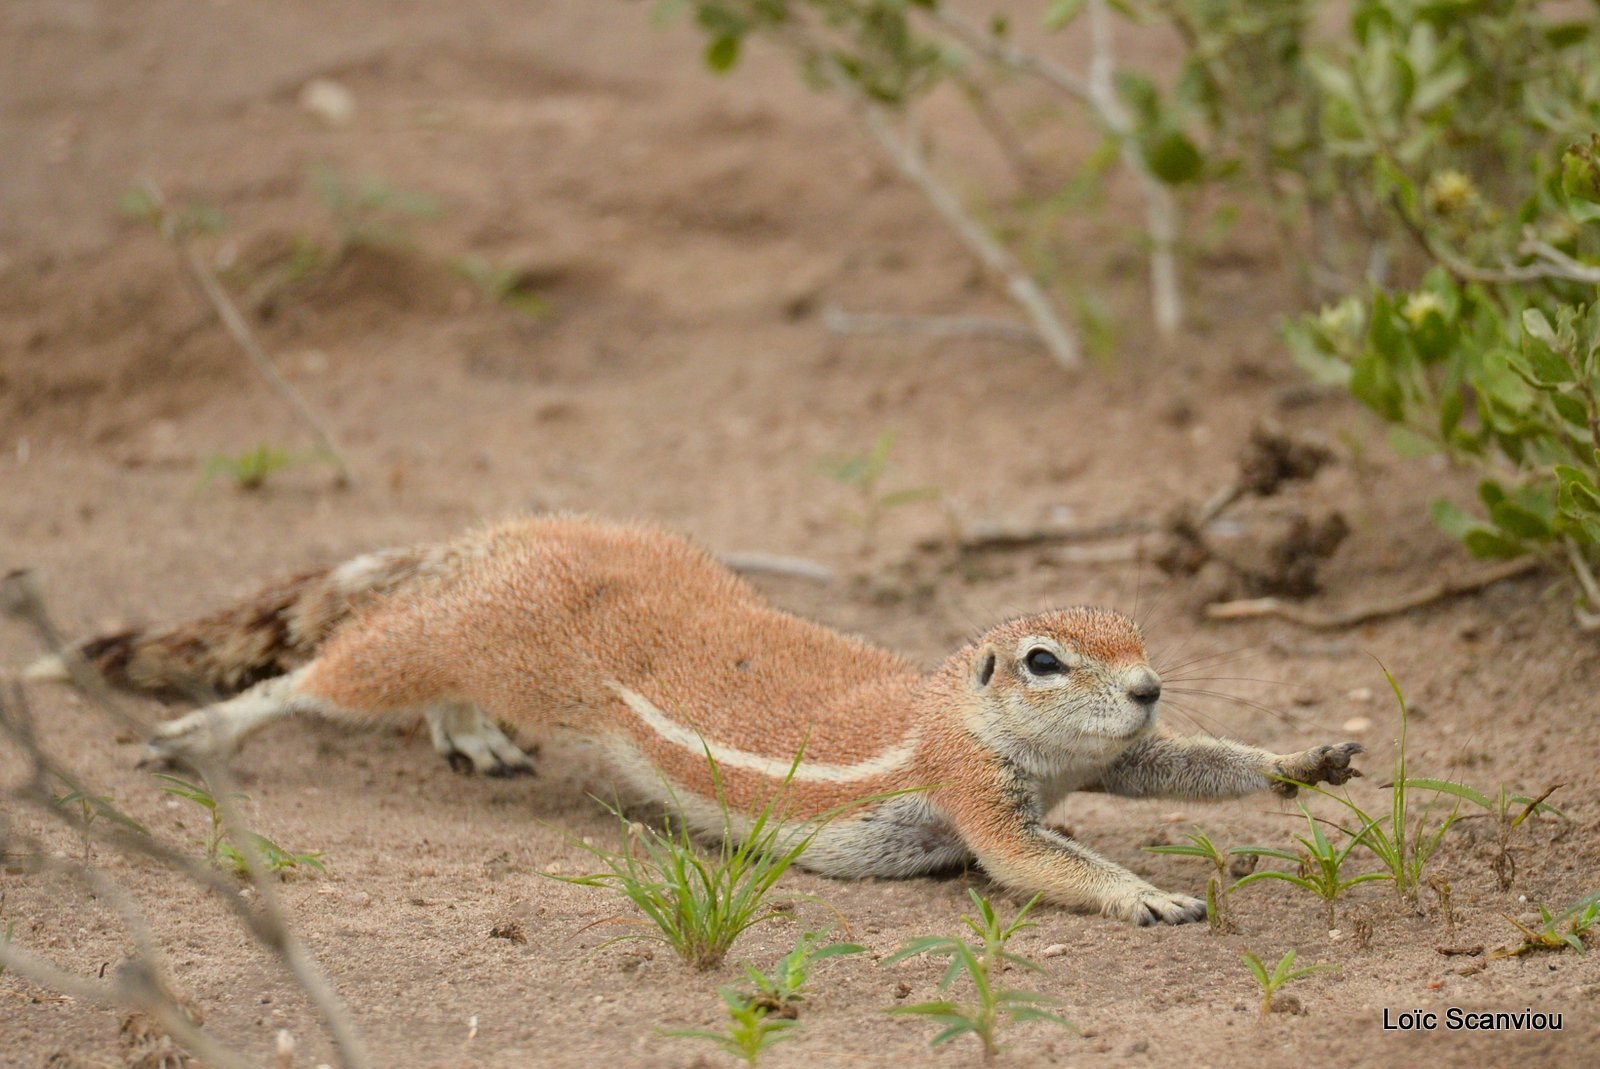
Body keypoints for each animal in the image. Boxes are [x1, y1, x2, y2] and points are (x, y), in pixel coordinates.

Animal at [25, 512, 1363, 921]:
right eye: (1043, 660)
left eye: (1139, 644)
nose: (1145, 687)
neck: (969, 707)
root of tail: (518, 529)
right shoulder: (969, 782)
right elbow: (1037, 861)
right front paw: (1143, 894)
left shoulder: (1109, 764)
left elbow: (1182, 768)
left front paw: (1309, 755)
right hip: (479, 635)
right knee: (331, 672)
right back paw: (202, 734)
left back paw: (466, 736)